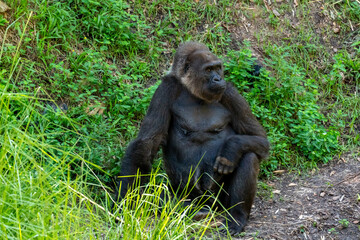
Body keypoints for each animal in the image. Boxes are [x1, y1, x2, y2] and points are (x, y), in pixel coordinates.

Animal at [114, 41, 268, 234]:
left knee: (249, 155)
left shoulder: (231, 94)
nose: (218, 79)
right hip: (189, 197)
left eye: (218, 68)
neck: (193, 91)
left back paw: (236, 216)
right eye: (209, 70)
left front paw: (230, 150)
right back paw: (190, 211)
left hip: (219, 203)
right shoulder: (165, 90)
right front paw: (124, 199)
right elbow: (146, 143)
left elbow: (259, 138)